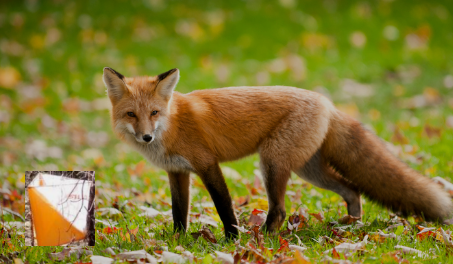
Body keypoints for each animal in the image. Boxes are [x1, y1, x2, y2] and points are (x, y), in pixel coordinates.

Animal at [103, 67, 452, 238]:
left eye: (155, 113)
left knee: (281, 210)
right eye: (132, 115)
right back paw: (350, 224)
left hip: (272, 162)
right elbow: (179, 212)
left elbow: (224, 208)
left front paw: (231, 239)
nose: (147, 136)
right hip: (309, 170)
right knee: (352, 189)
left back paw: (264, 240)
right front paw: (178, 241)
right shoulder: (177, 172)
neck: (173, 124)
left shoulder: (207, 165)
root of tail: (327, 102)